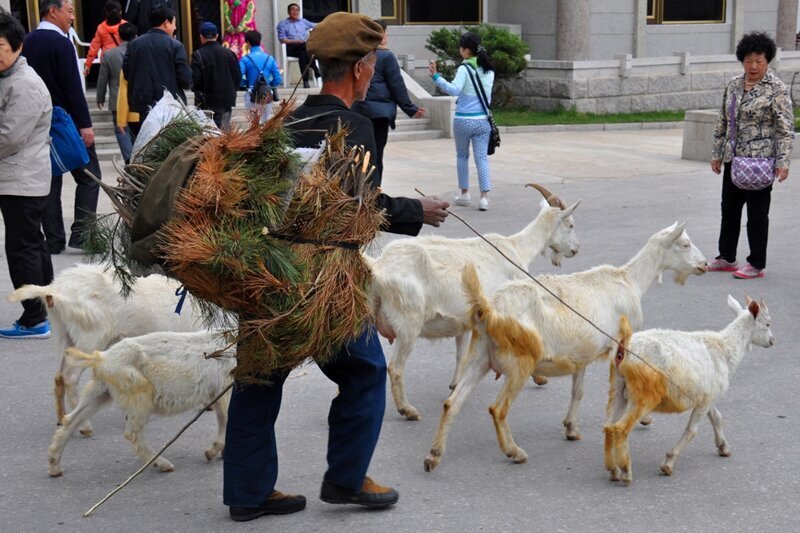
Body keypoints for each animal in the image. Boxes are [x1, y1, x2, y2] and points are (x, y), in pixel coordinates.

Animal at [7, 264, 206, 434]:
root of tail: (54, 290)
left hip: (64, 335)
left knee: (58, 376)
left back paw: (61, 418)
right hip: (89, 338)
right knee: (70, 377)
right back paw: (83, 426)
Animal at [48, 330, 233, 476]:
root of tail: (101, 358)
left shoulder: (216, 392)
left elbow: (223, 419)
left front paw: (221, 452)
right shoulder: (225, 389)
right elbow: (226, 420)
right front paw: (212, 452)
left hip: (100, 392)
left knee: (70, 420)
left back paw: (54, 466)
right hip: (139, 394)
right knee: (132, 433)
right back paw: (162, 464)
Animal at [368, 185, 580, 422]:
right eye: (570, 224)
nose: (576, 249)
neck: (516, 249)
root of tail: (379, 266)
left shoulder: (464, 319)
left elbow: (461, 353)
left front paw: (455, 384)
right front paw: (540, 378)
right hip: (408, 321)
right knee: (396, 368)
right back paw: (408, 410)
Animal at [424, 222, 708, 472]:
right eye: (685, 244)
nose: (705, 265)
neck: (629, 281)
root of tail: (489, 308)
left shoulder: (581, 352)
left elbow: (578, 390)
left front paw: (571, 427)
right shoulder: (619, 345)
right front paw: (644, 417)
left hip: (480, 356)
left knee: (452, 403)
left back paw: (434, 455)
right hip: (519, 364)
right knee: (498, 409)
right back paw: (515, 452)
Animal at [604, 298, 772, 484]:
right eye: (767, 323)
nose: (772, 341)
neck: (725, 348)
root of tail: (623, 349)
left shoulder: (707, 396)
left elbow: (716, 418)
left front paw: (724, 447)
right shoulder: (705, 400)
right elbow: (692, 431)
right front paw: (668, 464)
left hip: (618, 387)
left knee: (609, 426)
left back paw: (613, 471)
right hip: (643, 395)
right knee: (620, 428)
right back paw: (625, 471)